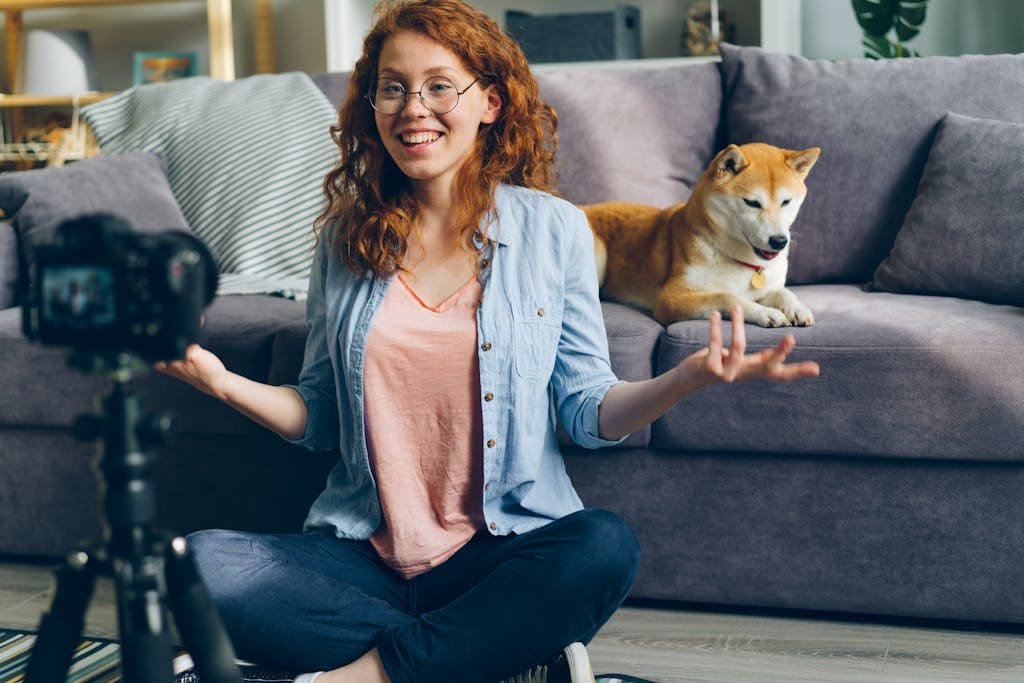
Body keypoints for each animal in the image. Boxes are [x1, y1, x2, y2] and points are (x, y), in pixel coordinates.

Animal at [585, 142, 815, 327]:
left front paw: (797, 308)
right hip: (599, 258)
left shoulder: (765, 289)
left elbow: (784, 292)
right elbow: (728, 297)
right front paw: (765, 312)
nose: (779, 241)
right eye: (752, 203)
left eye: (786, 202)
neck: (744, 263)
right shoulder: (671, 298)